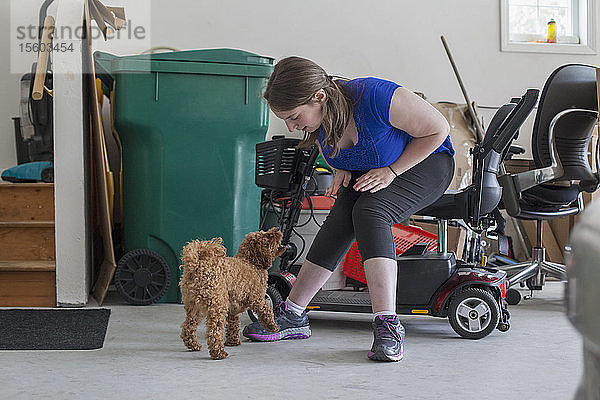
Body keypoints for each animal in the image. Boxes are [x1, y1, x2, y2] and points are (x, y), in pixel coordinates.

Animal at [178, 227, 286, 360]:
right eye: (268, 236)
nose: (277, 229)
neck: (251, 262)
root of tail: (197, 265)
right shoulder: (257, 298)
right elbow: (267, 309)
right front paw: (272, 326)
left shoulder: (232, 308)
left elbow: (233, 324)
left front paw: (233, 341)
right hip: (217, 305)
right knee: (214, 332)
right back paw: (218, 353)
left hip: (195, 307)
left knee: (188, 327)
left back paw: (194, 345)